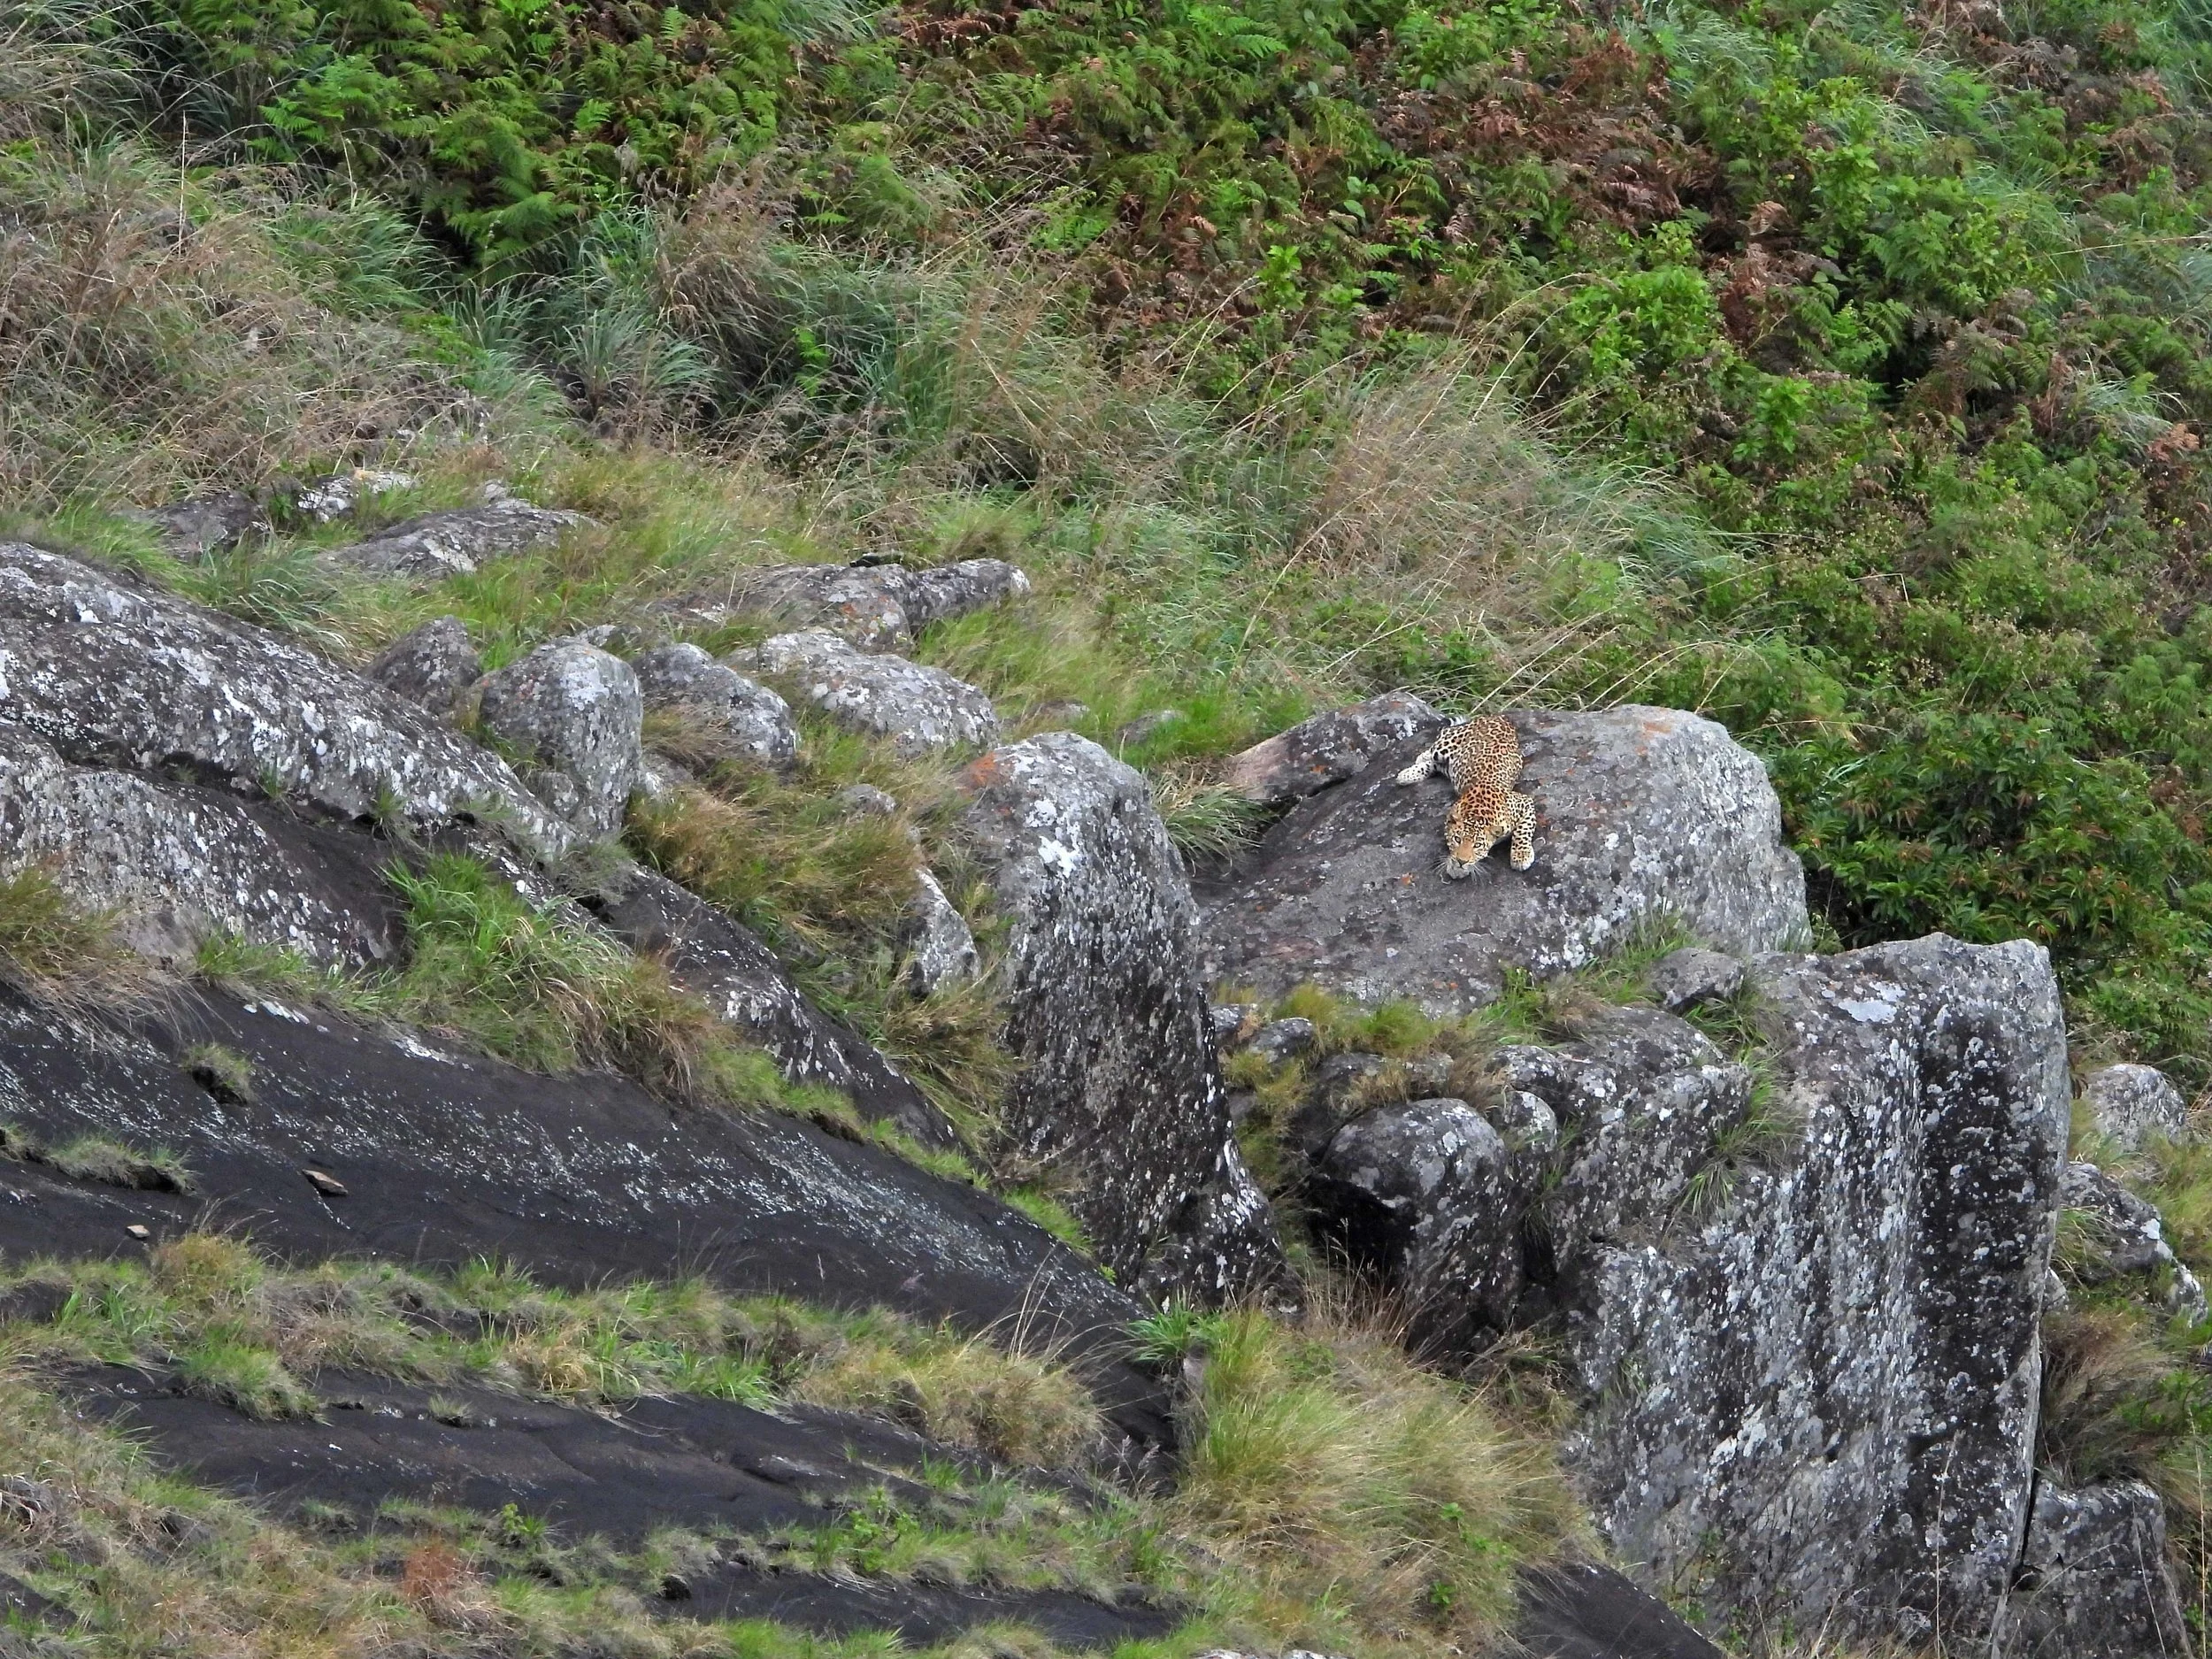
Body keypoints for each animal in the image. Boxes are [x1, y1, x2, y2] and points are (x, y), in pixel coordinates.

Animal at [1393, 714, 1536, 878]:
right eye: (1457, 839)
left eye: (1478, 845)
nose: (1462, 861)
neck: (1479, 812)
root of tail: (1500, 716)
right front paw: (1455, 866)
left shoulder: (1524, 802)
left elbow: (1523, 830)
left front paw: (1522, 855)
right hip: (1446, 745)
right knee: (1439, 740)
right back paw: (1410, 770)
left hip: (1452, 766)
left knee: (1436, 764)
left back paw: (1408, 773)